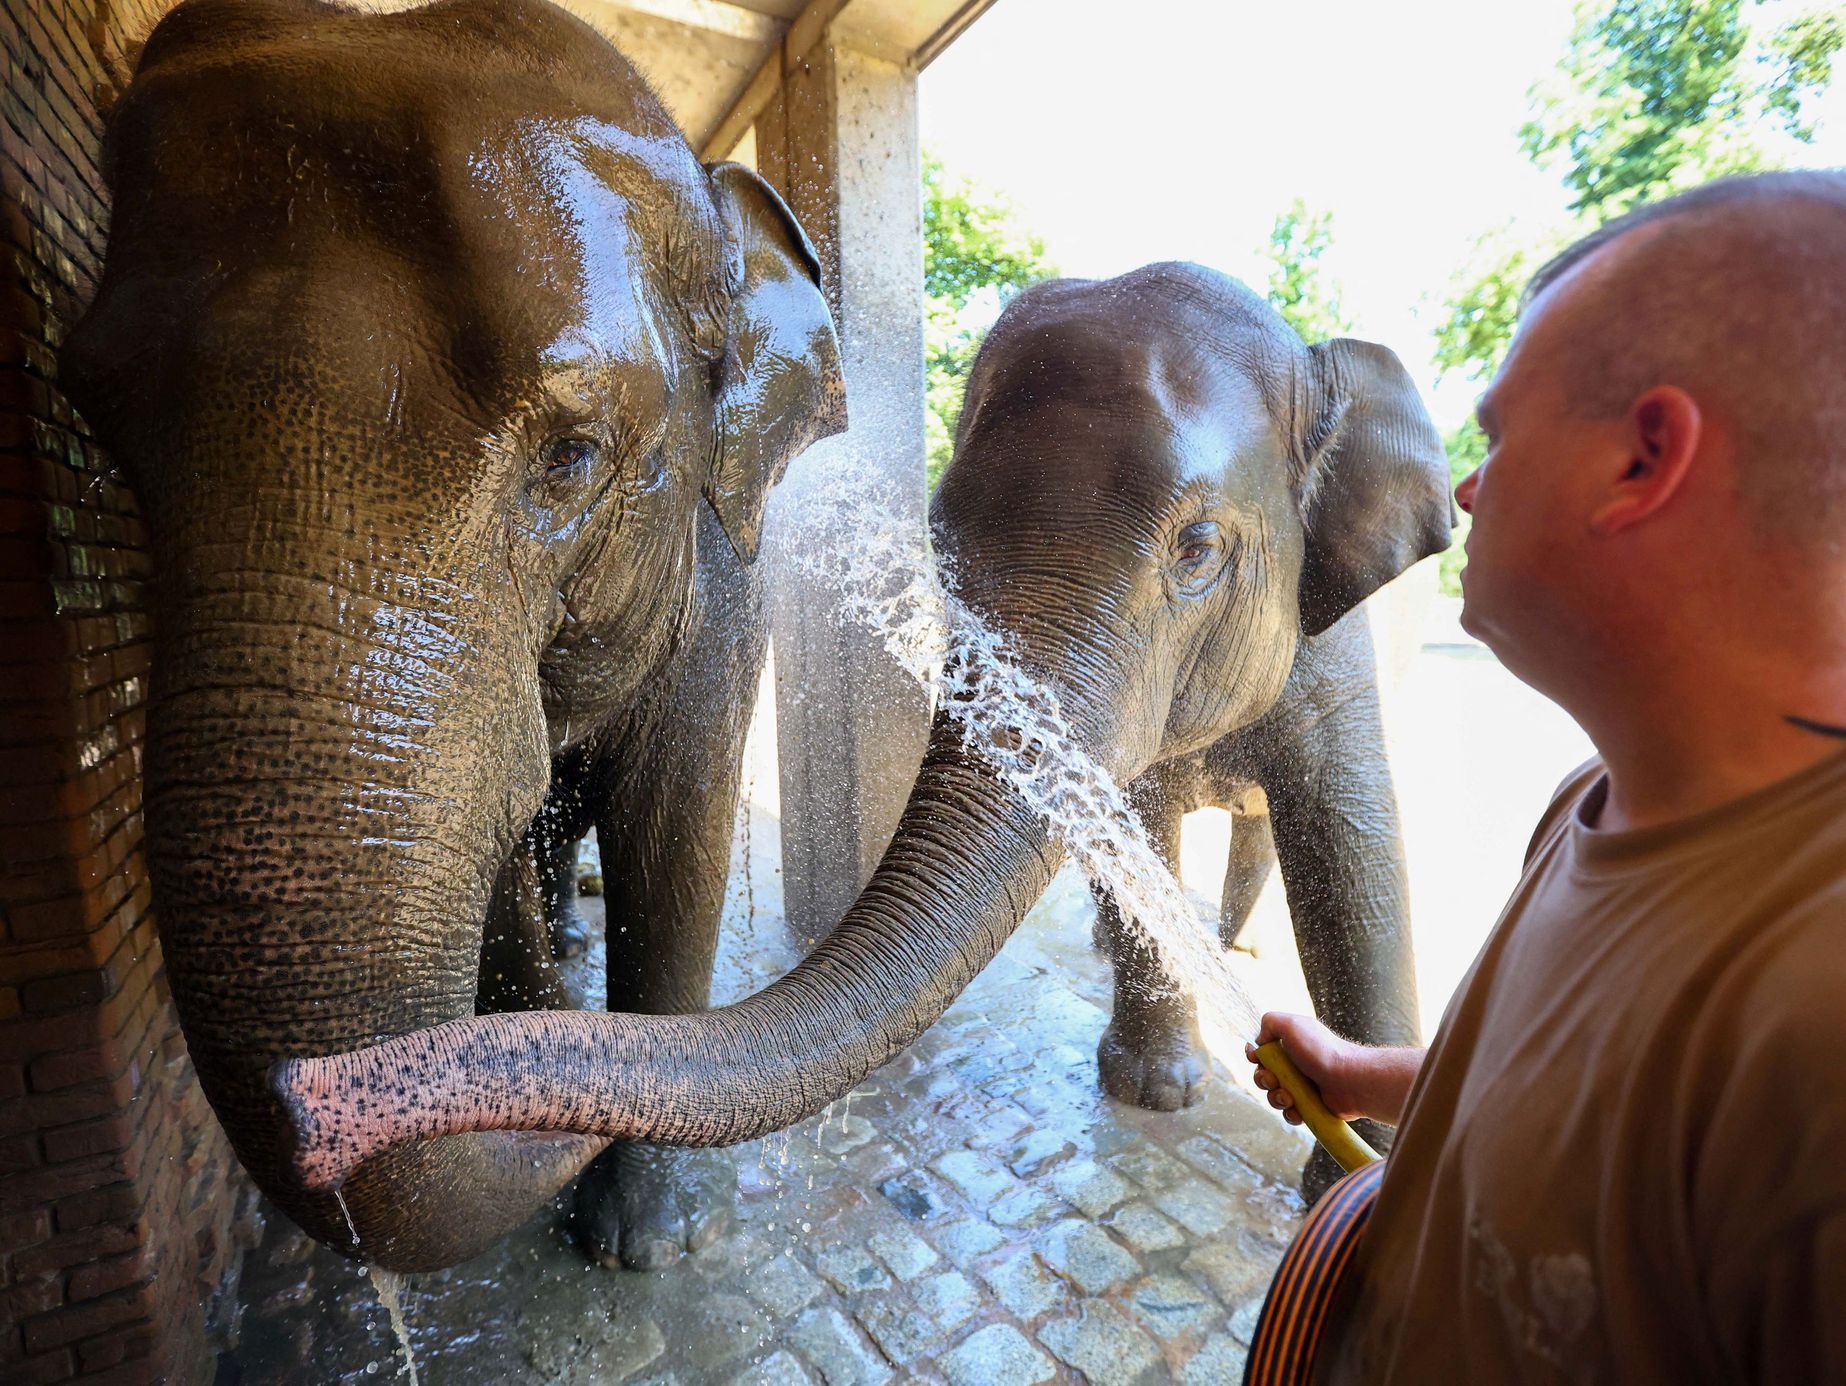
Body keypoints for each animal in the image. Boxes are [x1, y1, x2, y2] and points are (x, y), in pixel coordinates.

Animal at [59, 0, 845, 1277]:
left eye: (572, 458)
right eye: (112, 438)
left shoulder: (728, 575)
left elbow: (675, 834)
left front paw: (632, 1245)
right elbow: (511, 844)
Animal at [269, 267, 1454, 1232]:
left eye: (1199, 549)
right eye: (936, 541)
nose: (301, 1101)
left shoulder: (1340, 646)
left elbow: (1353, 847)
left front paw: (1350, 1163)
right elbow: (1138, 825)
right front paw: (1158, 1091)